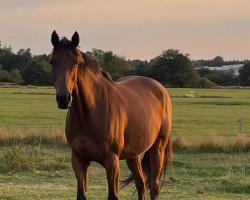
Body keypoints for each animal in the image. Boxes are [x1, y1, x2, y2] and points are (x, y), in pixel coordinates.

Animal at [49, 30, 173, 199]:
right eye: (52, 62)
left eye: (76, 63)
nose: (63, 98)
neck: (89, 114)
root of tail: (160, 89)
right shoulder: (79, 159)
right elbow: (81, 195)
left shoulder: (112, 161)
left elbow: (113, 195)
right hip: (133, 154)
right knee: (141, 184)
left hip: (157, 149)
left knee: (154, 187)